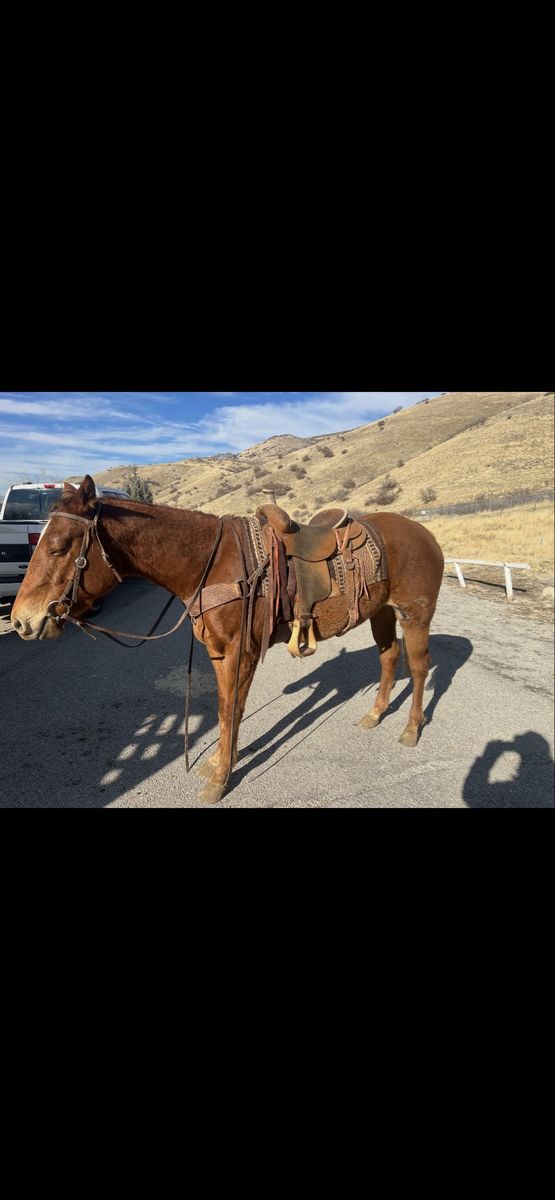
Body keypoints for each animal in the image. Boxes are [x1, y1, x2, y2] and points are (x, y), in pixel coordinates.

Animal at [11, 475, 445, 804]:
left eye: (58, 547)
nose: (20, 621)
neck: (211, 562)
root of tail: (425, 533)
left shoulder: (241, 651)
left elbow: (232, 709)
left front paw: (220, 779)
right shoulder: (220, 653)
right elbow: (224, 709)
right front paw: (221, 763)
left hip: (415, 614)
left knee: (419, 667)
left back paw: (411, 729)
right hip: (382, 612)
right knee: (389, 657)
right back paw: (375, 714)